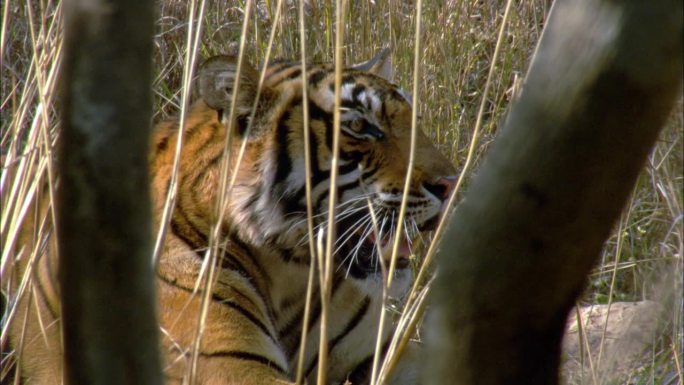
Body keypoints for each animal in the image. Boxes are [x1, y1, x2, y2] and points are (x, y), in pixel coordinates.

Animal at [8, 49, 456, 382]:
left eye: (413, 119)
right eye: (361, 127)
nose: (451, 184)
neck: (293, 274)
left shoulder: (384, 354)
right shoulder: (230, 365)